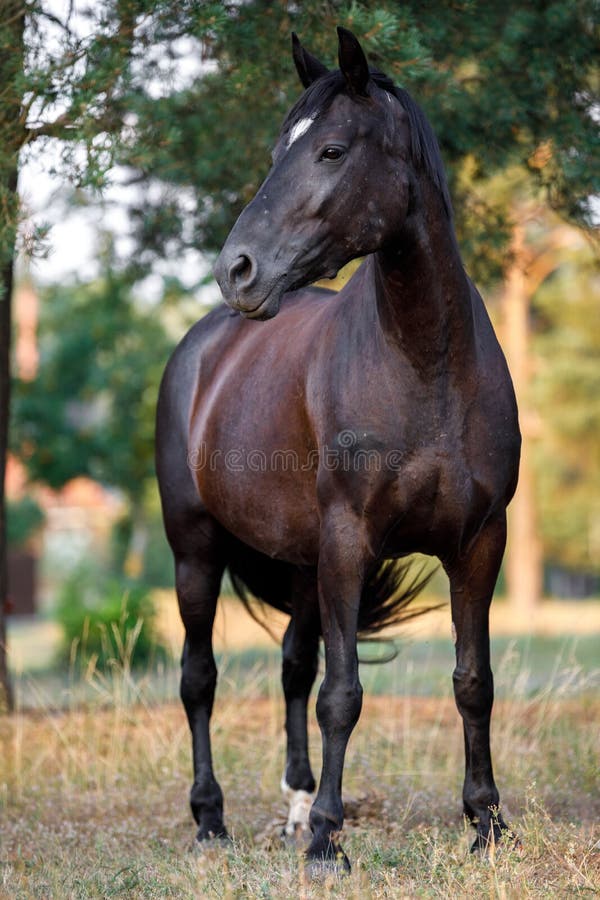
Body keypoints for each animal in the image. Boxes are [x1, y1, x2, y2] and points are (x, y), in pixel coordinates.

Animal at [156, 26, 520, 872]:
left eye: (330, 149)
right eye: (276, 149)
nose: (237, 268)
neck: (426, 365)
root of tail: (203, 344)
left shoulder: (480, 543)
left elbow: (473, 680)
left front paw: (486, 821)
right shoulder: (349, 541)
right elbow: (343, 694)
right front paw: (329, 838)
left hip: (299, 560)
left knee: (292, 663)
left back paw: (291, 804)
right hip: (196, 551)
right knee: (199, 678)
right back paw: (211, 818)